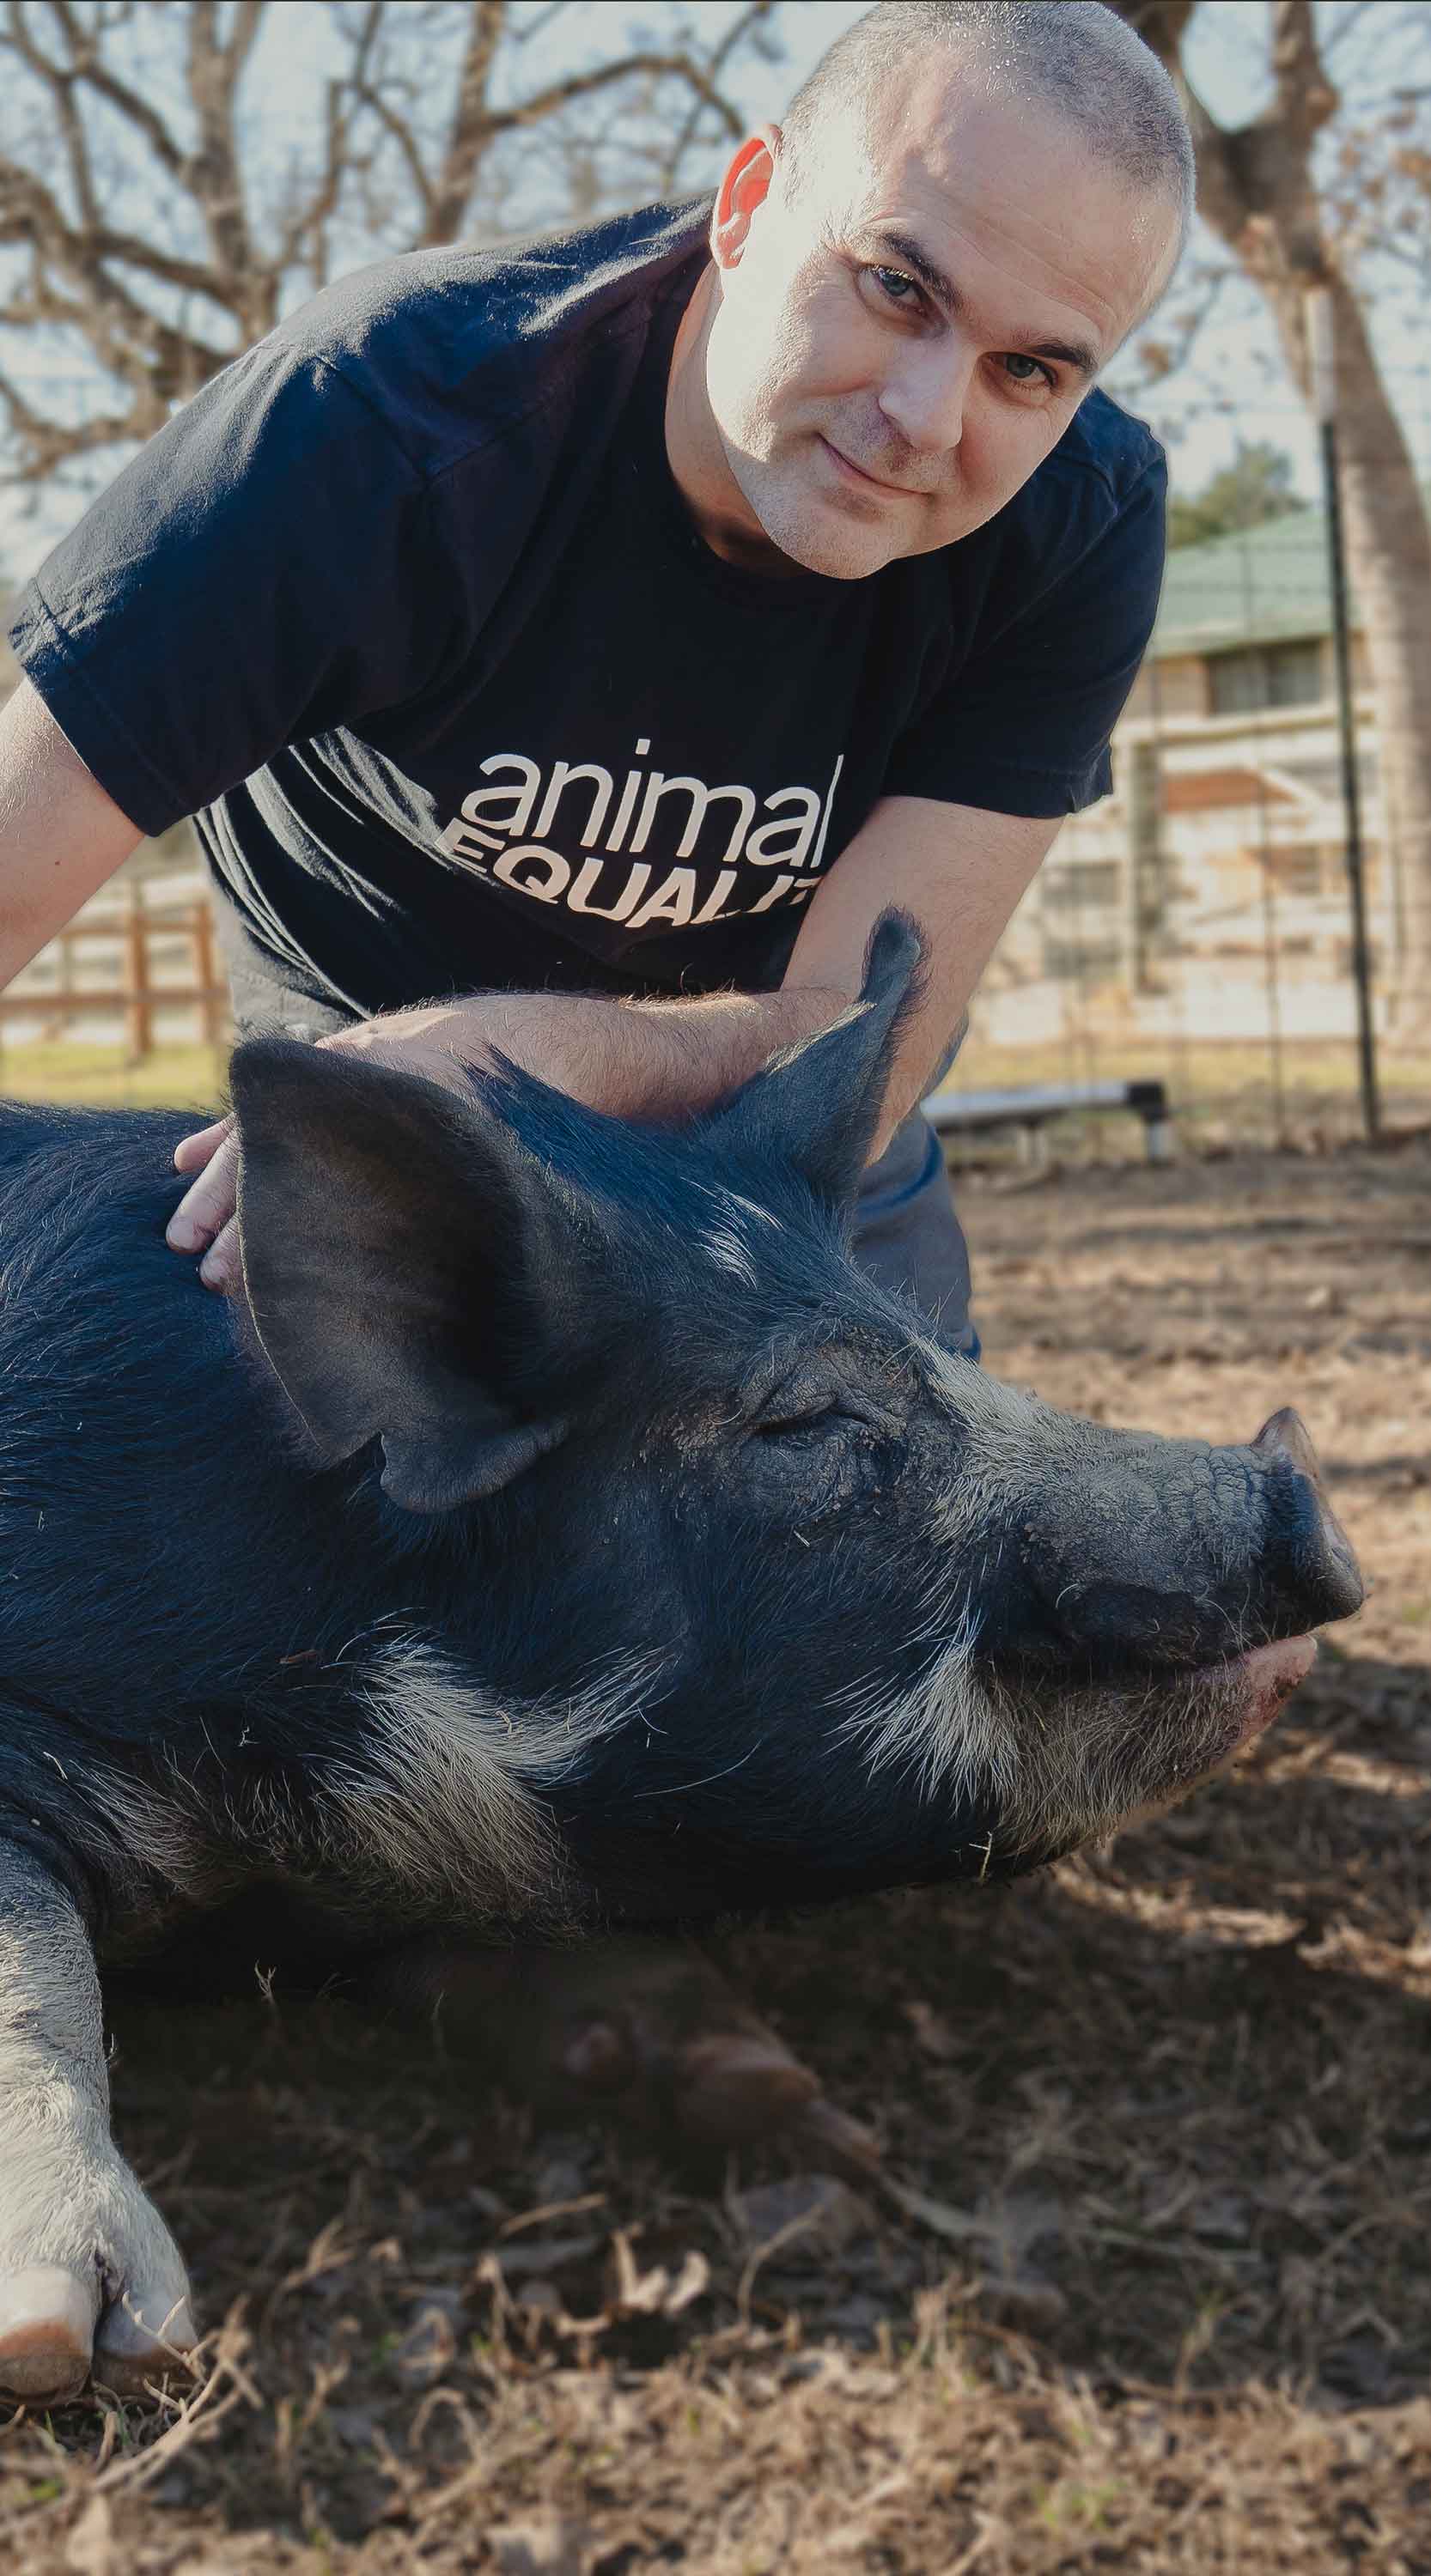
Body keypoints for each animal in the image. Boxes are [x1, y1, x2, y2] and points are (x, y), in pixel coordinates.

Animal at [0, 915, 1361, 2405]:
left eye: (934, 1349)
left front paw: (777, 2103)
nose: (1300, 1497)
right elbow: (31, 1946)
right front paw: (90, 2343)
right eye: (811, 1418)